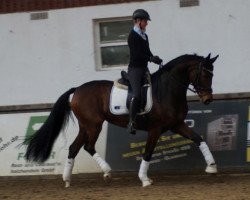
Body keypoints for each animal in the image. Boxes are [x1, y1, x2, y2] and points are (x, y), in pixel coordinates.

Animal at [23, 53, 219, 188]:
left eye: (212, 75)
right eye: (205, 75)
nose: (208, 99)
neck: (166, 91)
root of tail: (77, 89)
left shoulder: (177, 125)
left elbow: (199, 139)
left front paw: (211, 166)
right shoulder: (155, 129)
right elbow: (148, 153)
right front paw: (144, 179)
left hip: (85, 126)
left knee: (74, 148)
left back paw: (67, 180)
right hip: (94, 125)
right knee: (88, 146)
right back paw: (107, 172)